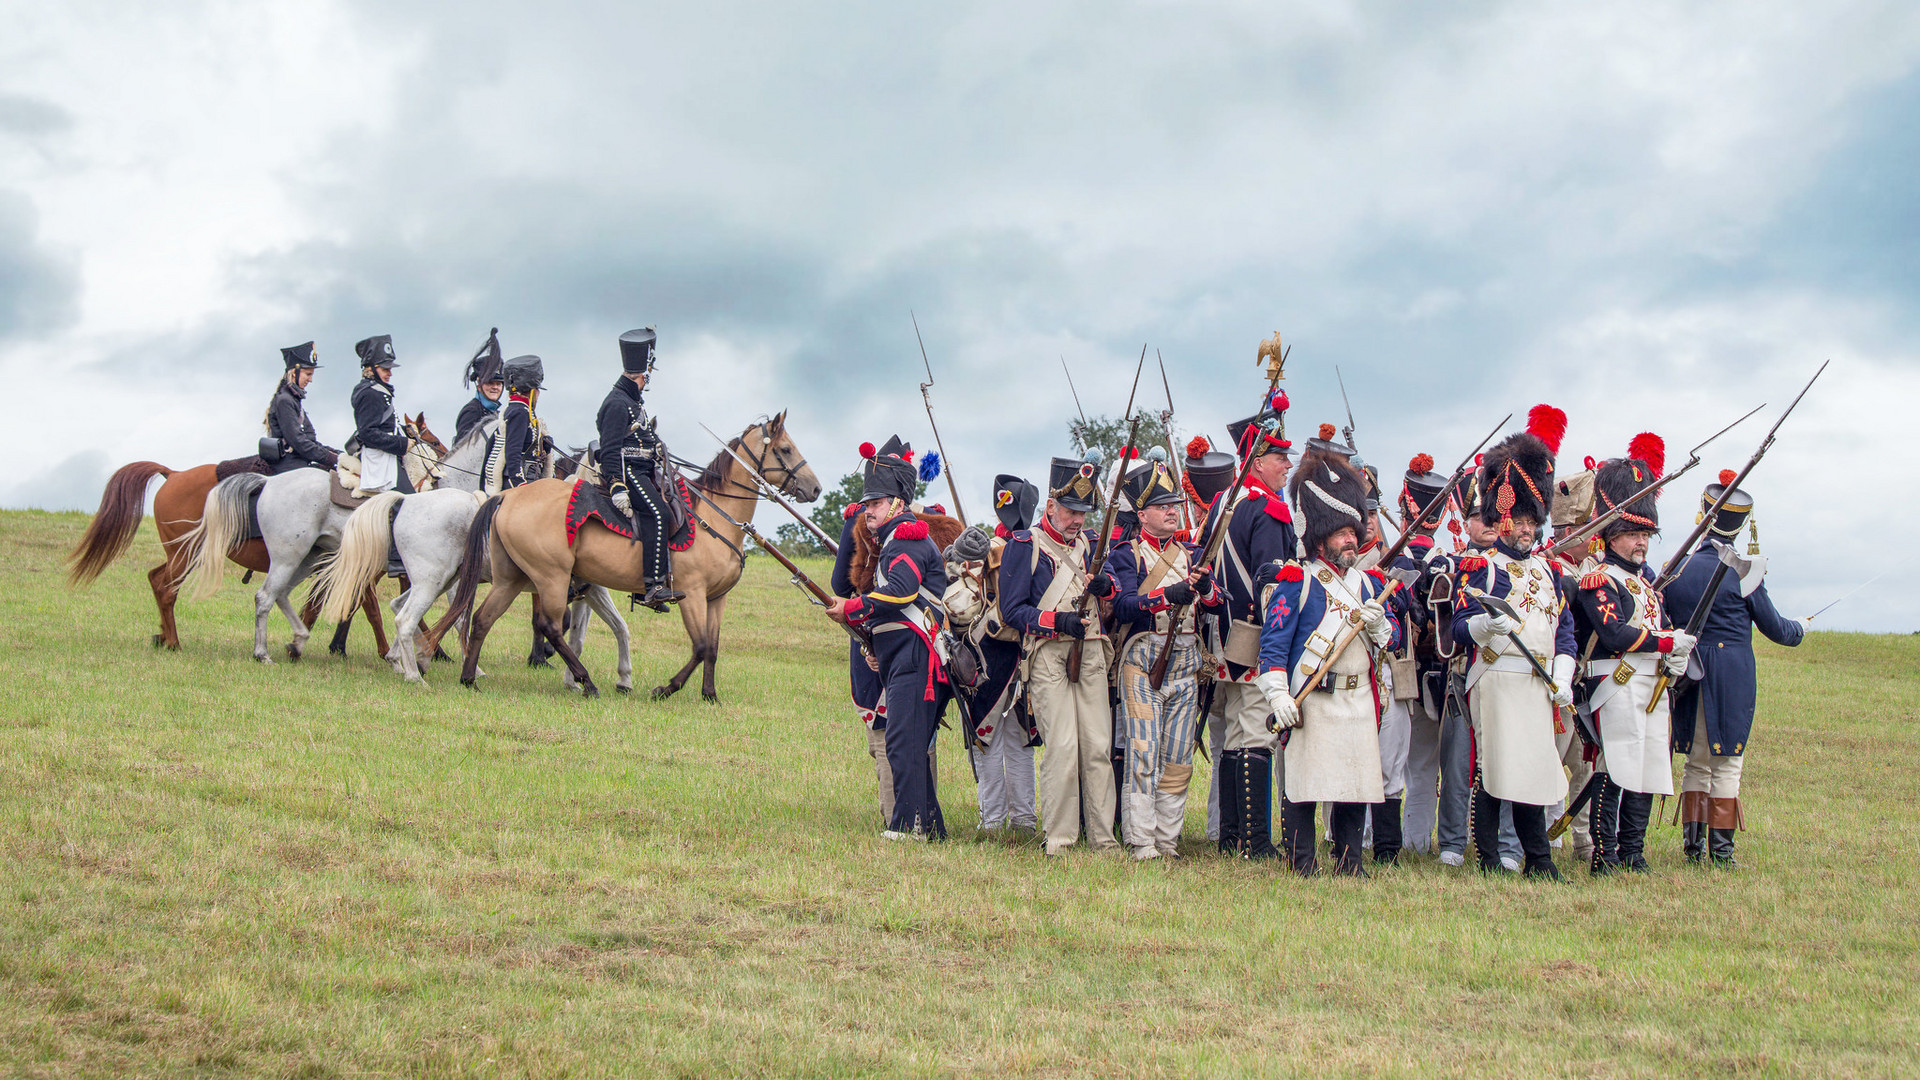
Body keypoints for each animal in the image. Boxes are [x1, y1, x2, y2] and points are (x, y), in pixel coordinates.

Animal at [441, 409, 825, 699]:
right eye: (785, 450)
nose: (816, 488)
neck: (715, 519)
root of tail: (508, 496)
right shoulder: (692, 594)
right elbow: (700, 646)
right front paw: (665, 689)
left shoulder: (717, 599)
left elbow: (713, 647)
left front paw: (710, 695)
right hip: (551, 577)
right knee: (547, 626)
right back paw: (586, 682)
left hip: (512, 578)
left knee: (483, 619)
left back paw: (470, 678)